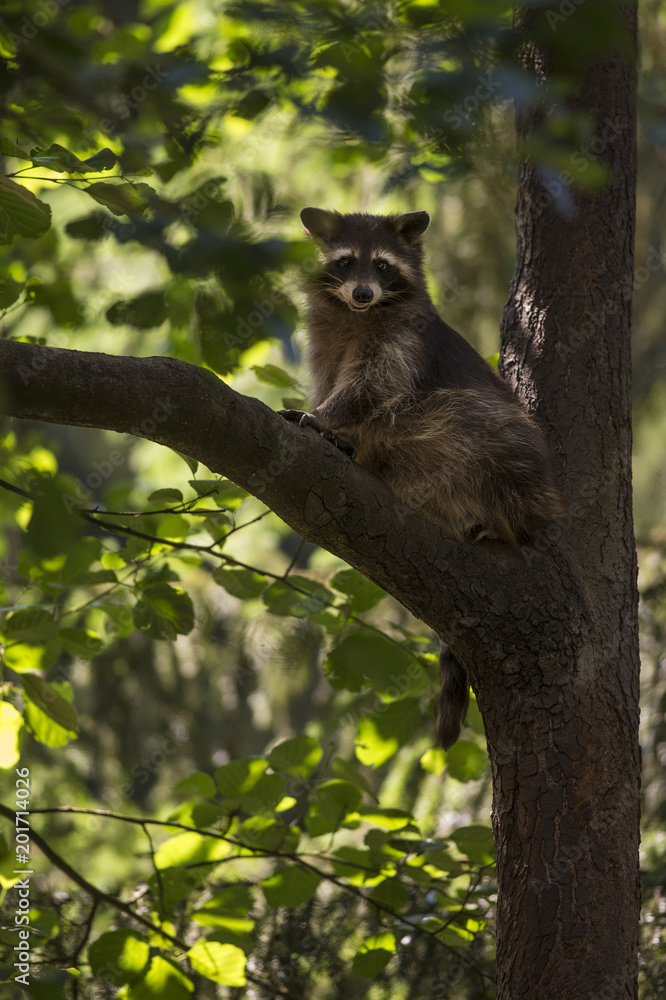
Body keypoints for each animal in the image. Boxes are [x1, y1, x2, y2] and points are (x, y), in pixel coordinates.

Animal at [280, 208, 563, 749]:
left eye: (383, 266)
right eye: (345, 262)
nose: (363, 293)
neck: (359, 315)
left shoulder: (405, 342)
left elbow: (370, 389)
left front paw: (326, 419)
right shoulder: (327, 337)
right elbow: (335, 380)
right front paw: (334, 428)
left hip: (505, 450)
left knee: (467, 419)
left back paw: (499, 521)